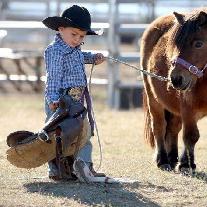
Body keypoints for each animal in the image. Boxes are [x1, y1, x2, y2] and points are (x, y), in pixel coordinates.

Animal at [142, 8, 207, 172]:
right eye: (175, 44)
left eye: (199, 43)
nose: (176, 79)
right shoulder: (188, 107)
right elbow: (191, 135)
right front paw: (186, 165)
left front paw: (185, 162)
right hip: (154, 99)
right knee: (159, 126)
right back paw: (163, 160)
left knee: (173, 128)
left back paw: (173, 158)